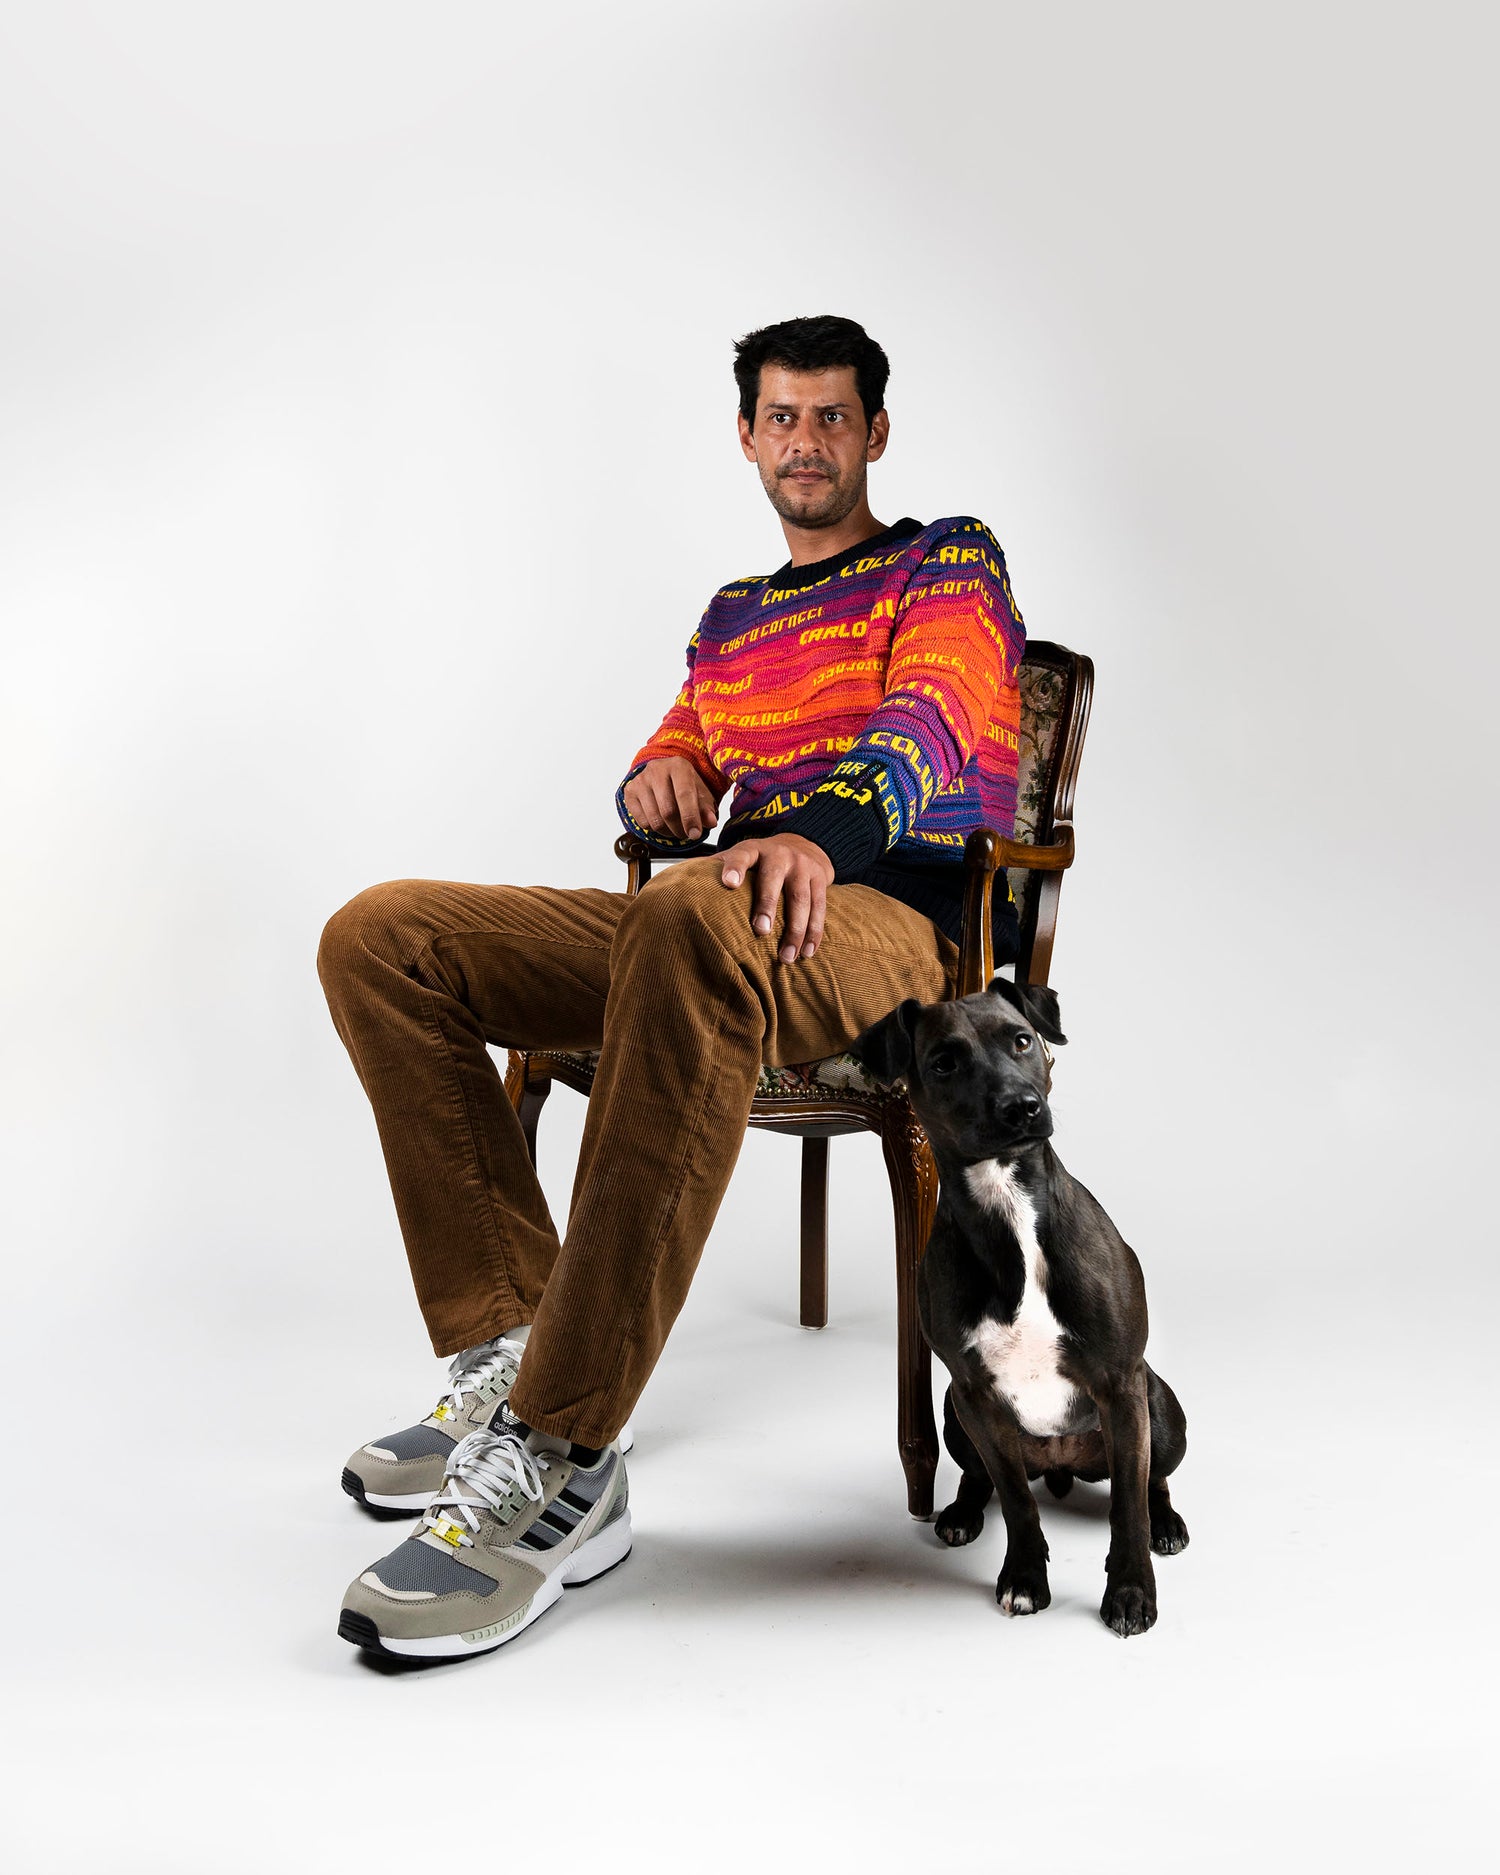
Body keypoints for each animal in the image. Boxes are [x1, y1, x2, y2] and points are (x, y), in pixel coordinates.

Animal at [848, 978, 1188, 1638]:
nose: (1020, 1107)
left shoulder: (1120, 1385)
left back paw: (1166, 1522)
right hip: (953, 1414)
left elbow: (1128, 1504)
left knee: (1152, 1479)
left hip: (1159, 1408)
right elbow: (1014, 1499)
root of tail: (1061, 1463)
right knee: (981, 1476)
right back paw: (960, 1512)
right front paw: (1026, 1577)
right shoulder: (976, 1394)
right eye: (944, 1062)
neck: (1007, 1206)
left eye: (1022, 1040)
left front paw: (1130, 1590)